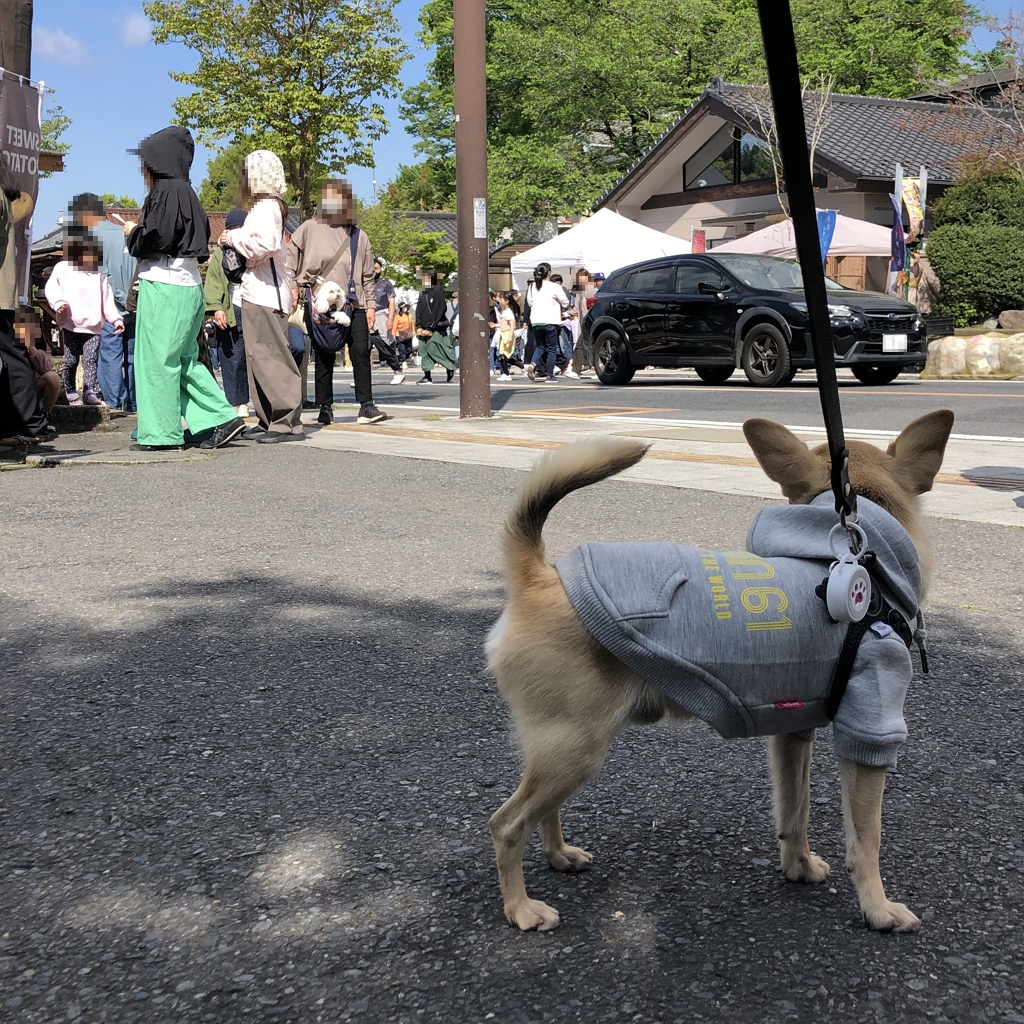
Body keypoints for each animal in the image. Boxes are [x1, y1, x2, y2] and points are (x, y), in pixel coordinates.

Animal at [486, 410, 954, 935]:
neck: (855, 561)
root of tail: (540, 576)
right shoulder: (869, 733)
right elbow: (866, 839)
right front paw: (877, 908)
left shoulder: (793, 731)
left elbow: (795, 809)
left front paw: (798, 866)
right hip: (575, 749)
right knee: (507, 825)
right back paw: (520, 907)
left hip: (562, 752)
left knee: (542, 811)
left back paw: (558, 854)